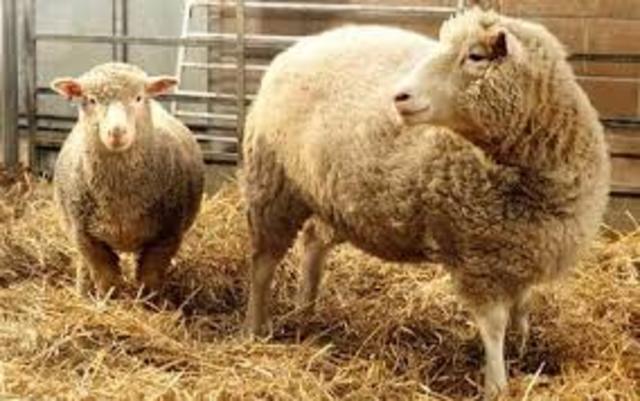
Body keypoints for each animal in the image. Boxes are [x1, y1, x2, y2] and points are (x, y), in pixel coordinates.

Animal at [51, 62, 204, 297]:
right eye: (91, 100)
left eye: (139, 97)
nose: (117, 131)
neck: (121, 200)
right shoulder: (86, 237)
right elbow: (106, 279)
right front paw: (108, 301)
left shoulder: (167, 236)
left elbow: (150, 279)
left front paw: (149, 303)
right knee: (83, 264)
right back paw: (82, 292)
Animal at [242, 9, 610, 399]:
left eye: (476, 56)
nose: (400, 96)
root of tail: (294, 50)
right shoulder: (478, 256)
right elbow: (493, 325)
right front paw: (496, 383)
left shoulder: (523, 248)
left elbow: (523, 306)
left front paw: (524, 349)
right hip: (273, 188)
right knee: (263, 264)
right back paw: (255, 327)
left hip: (334, 197)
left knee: (313, 241)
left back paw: (307, 310)